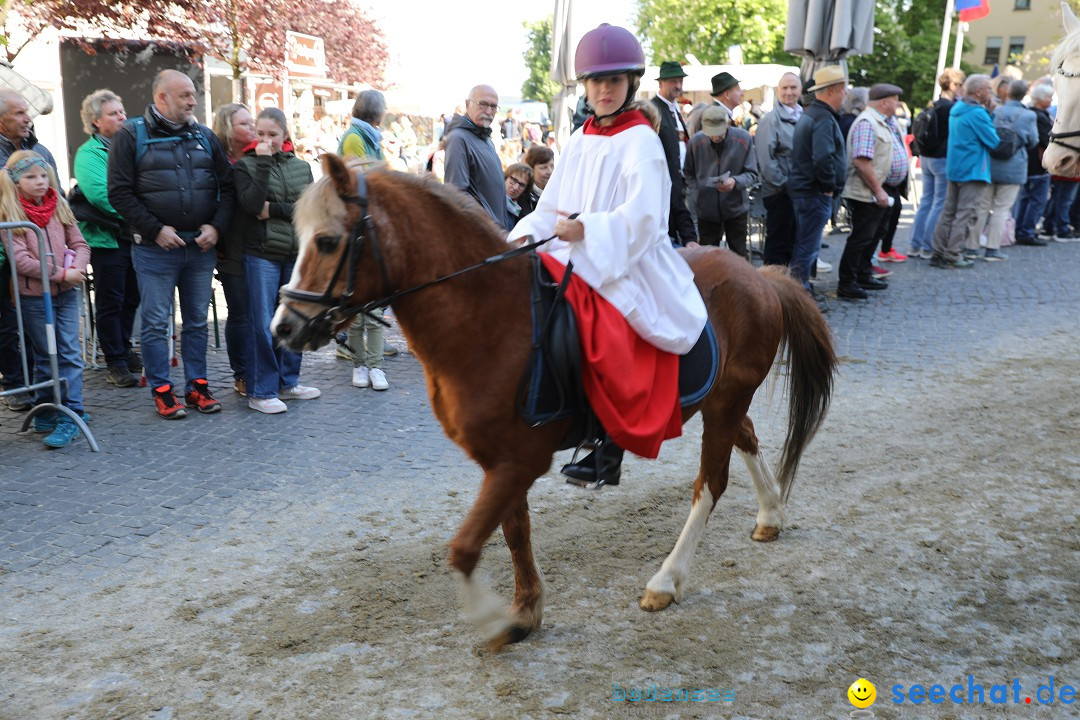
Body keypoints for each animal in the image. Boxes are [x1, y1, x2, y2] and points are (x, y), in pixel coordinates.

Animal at [270, 155, 833, 651]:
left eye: (327, 240)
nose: (283, 328)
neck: (489, 316)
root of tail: (760, 275)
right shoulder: (500, 461)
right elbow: (514, 532)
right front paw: (525, 613)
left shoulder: (520, 459)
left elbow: (464, 548)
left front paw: (496, 620)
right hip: (723, 401)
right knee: (747, 438)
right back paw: (771, 512)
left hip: (724, 404)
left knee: (709, 484)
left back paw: (667, 580)